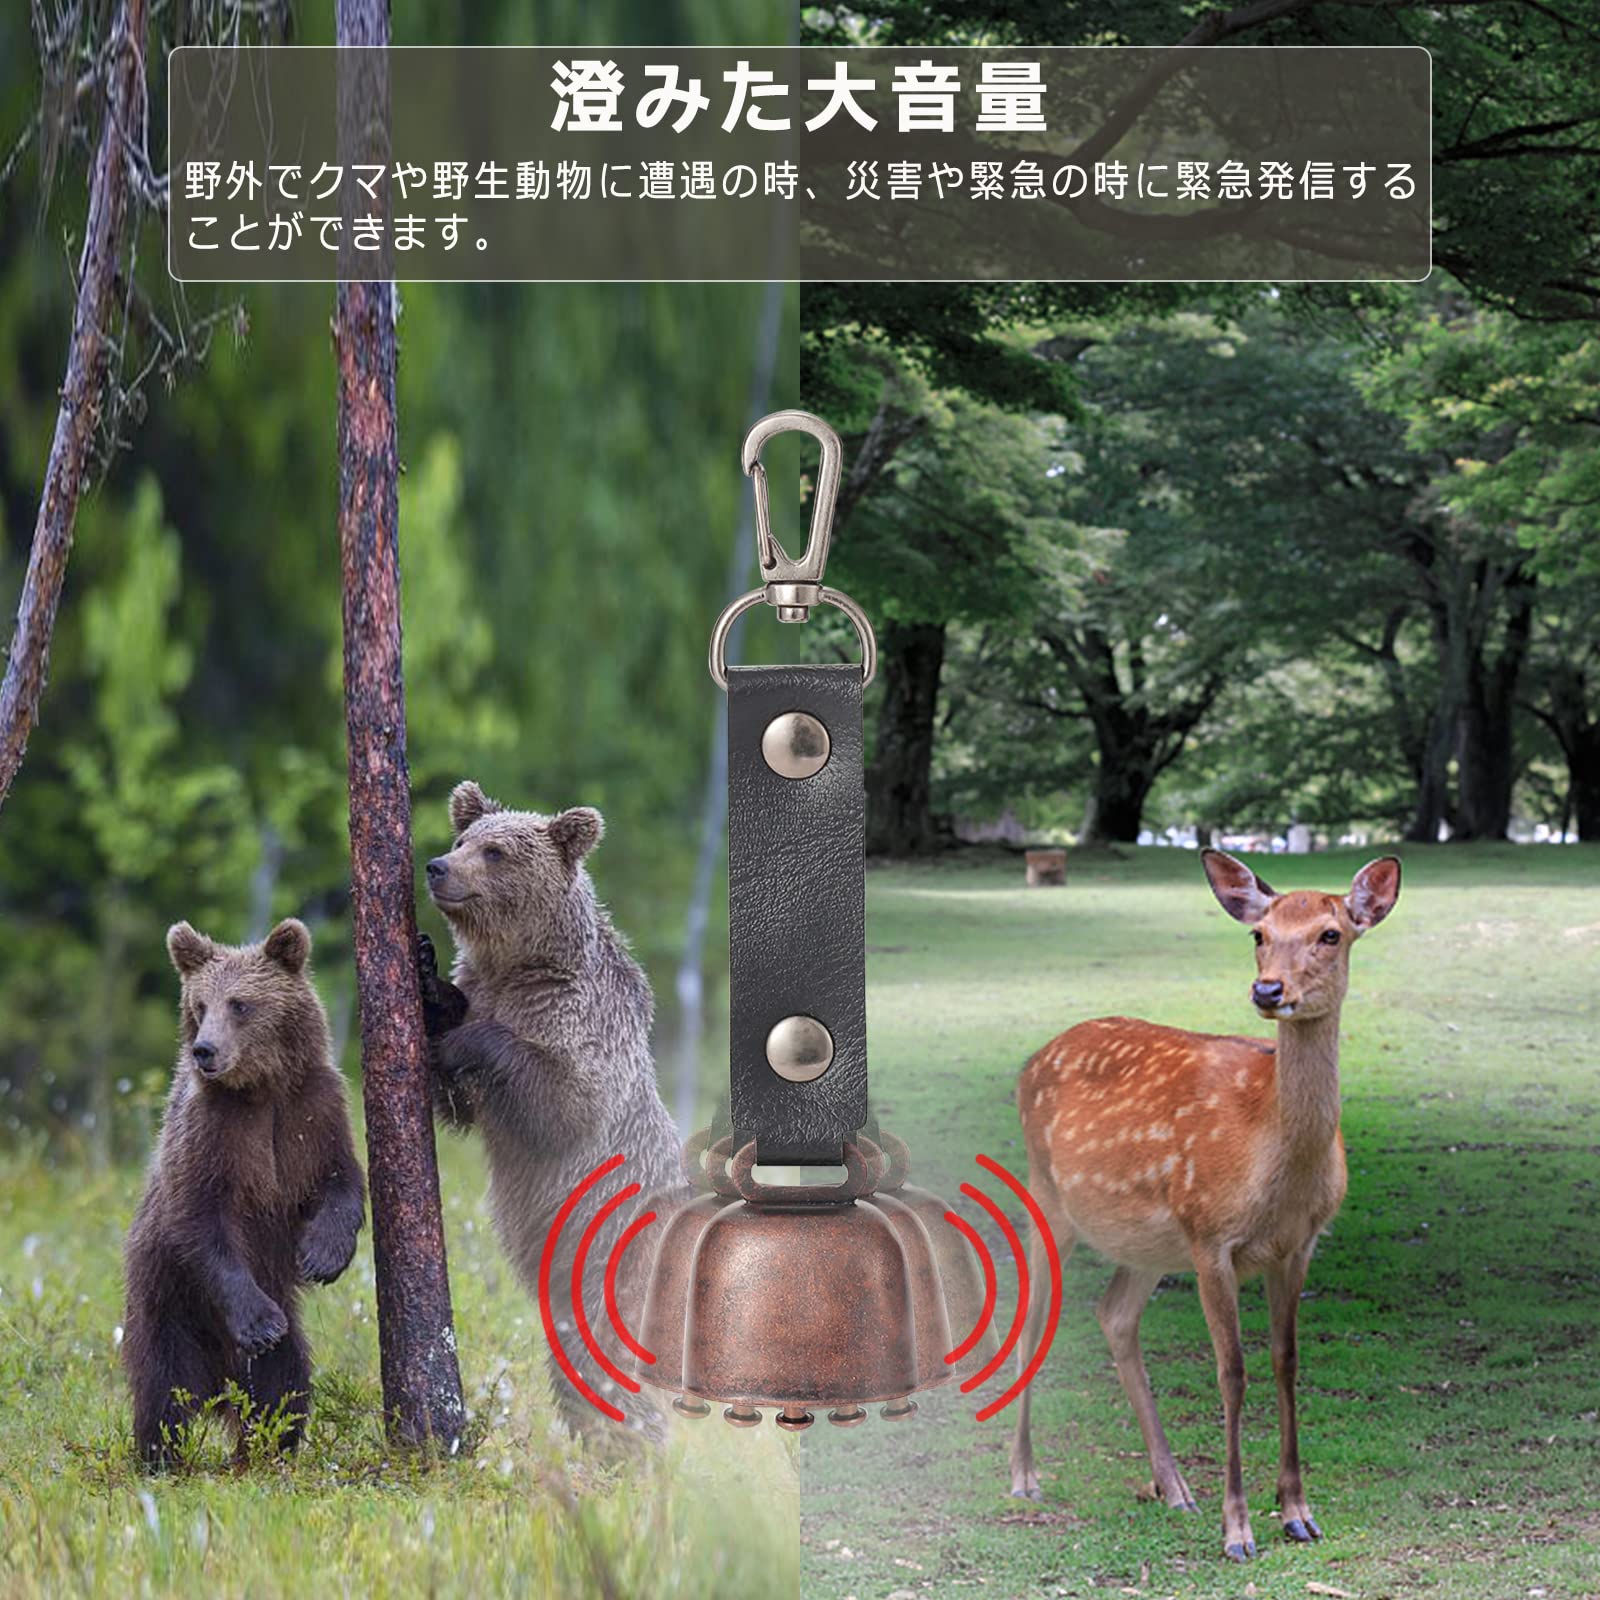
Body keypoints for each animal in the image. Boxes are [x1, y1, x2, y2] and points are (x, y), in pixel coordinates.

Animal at [122, 917, 366, 1468]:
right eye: (199, 1005)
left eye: (240, 1004)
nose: (204, 1050)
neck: (262, 1089)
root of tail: (221, 1384)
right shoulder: (211, 1135)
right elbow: (202, 1221)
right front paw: (260, 1322)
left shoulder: (313, 1113)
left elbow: (341, 1181)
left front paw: (322, 1255)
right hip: (167, 1302)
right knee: (163, 1390)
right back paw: (161, 1457)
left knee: (286, 1384)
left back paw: (268, 1448)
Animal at [418, 779, 681, 1437]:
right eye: (461, 839)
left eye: (495, 852)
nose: (435, 866)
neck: (518, 966)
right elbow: (458, 1102)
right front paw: (429, 978)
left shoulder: (580, 1021)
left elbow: (563, 1102)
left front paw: (464, 1039)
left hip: (616, 1256)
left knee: (613, 1363)